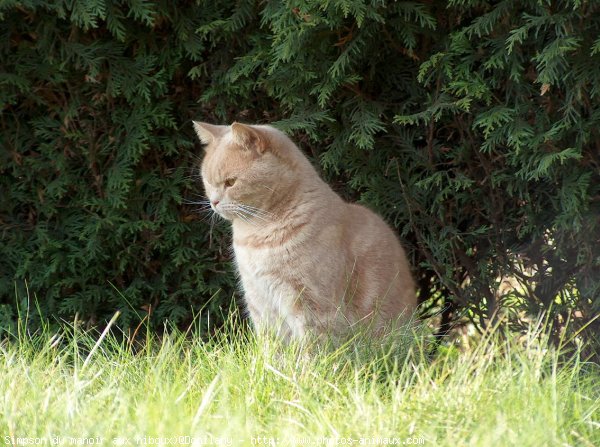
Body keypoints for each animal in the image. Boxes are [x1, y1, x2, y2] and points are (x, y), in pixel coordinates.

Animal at [195, 121, 414, 342]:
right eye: (208, 182)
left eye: (230, 182)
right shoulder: (260, 301)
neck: (255, 237)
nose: (213, 202)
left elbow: (312, 345)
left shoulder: (311, 304)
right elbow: (271, 345)